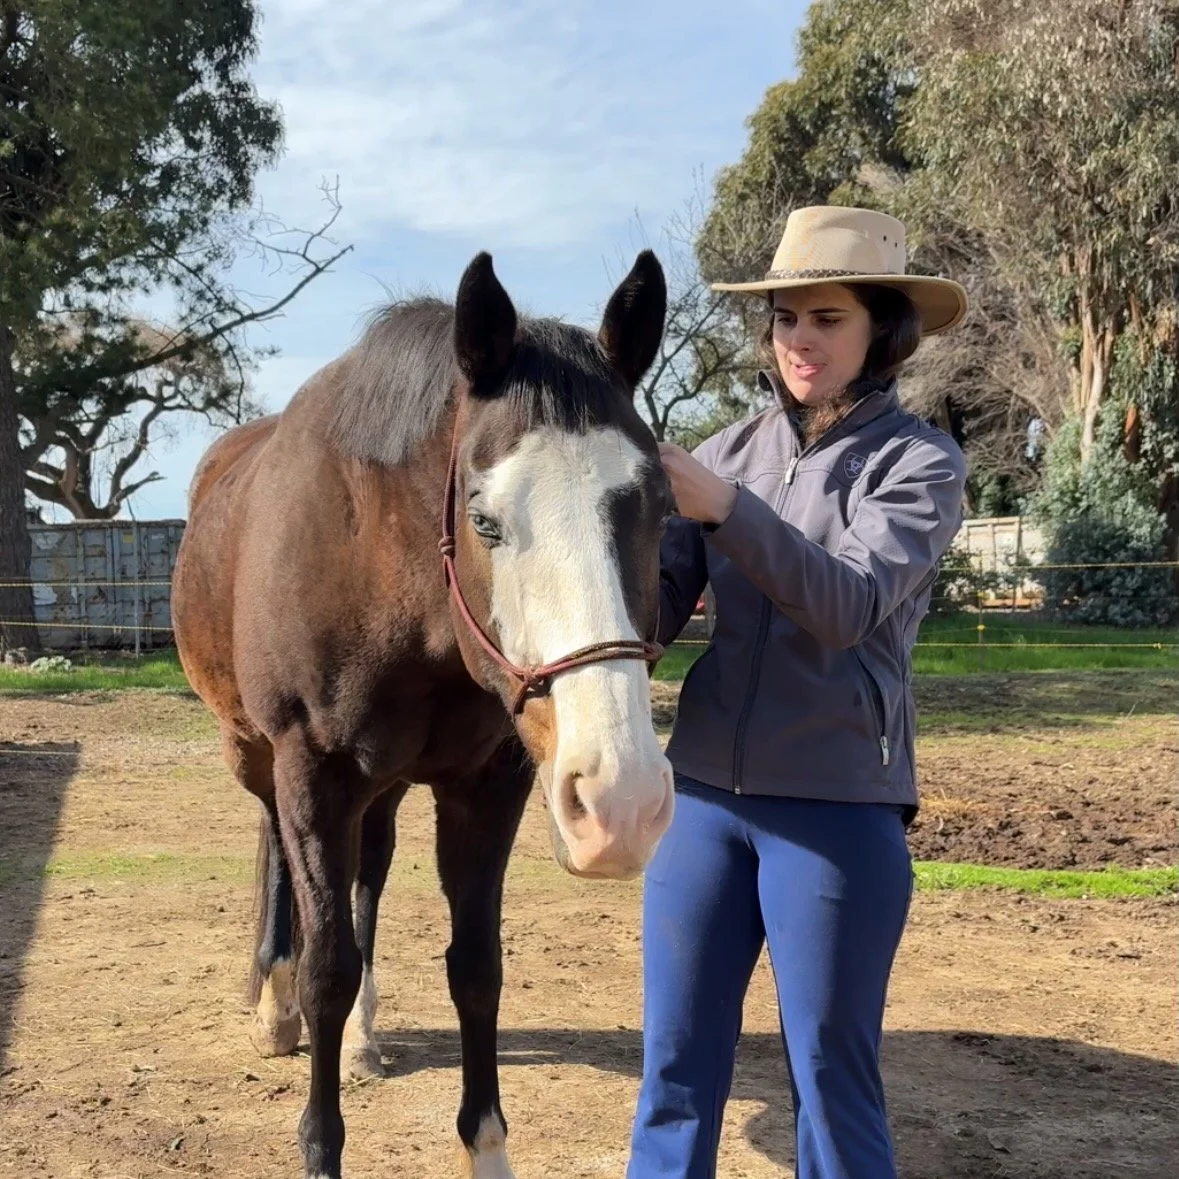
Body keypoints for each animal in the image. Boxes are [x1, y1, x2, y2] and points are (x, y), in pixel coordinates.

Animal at [170, 249, 676, 1179]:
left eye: (660, 510)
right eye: (484, 517)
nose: (620, 802)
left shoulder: (485, 784)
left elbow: (474, 968)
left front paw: (484, 1144)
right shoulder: (312, 772)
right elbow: (327, 967)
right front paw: (317, 1132)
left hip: (384, 784)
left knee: (367, 875)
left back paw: (360, 1036)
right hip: (256, 755)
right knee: (277, 853)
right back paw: (273, 1003)